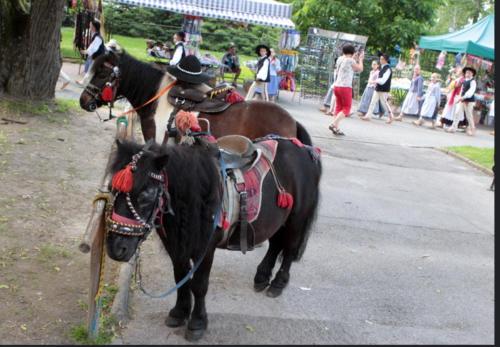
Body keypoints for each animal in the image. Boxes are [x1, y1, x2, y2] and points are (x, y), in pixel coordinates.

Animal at [107, 137, 322, 342]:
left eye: (146, 195)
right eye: (111, 189)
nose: (116, 249)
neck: (193, 198)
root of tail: (304, 148)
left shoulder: (205, 248)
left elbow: (199, 285)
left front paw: (197, 323)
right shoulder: (176, 246)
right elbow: (180, 278)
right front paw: (179, 313)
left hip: (296, 219)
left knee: (289, 248)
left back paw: (278, 283)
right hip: (279, 219)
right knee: (276, 244)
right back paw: (262, 277)